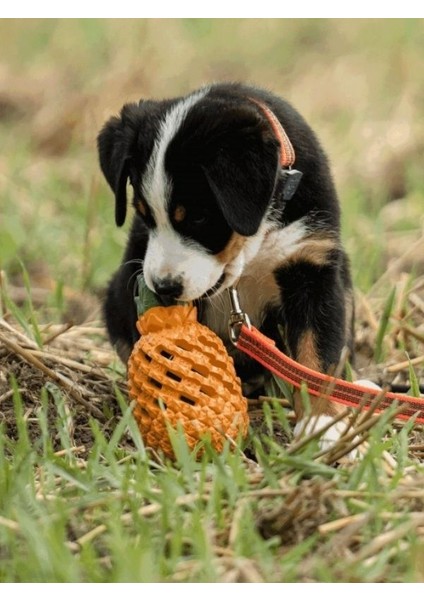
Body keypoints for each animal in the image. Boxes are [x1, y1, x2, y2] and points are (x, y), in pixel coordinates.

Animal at [98, 82, 354, 442]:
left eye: (199, 217)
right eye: (144, 215)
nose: (164, 287)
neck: (253, 249)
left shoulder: (312, 265)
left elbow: (315, 355)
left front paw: (321, 425)